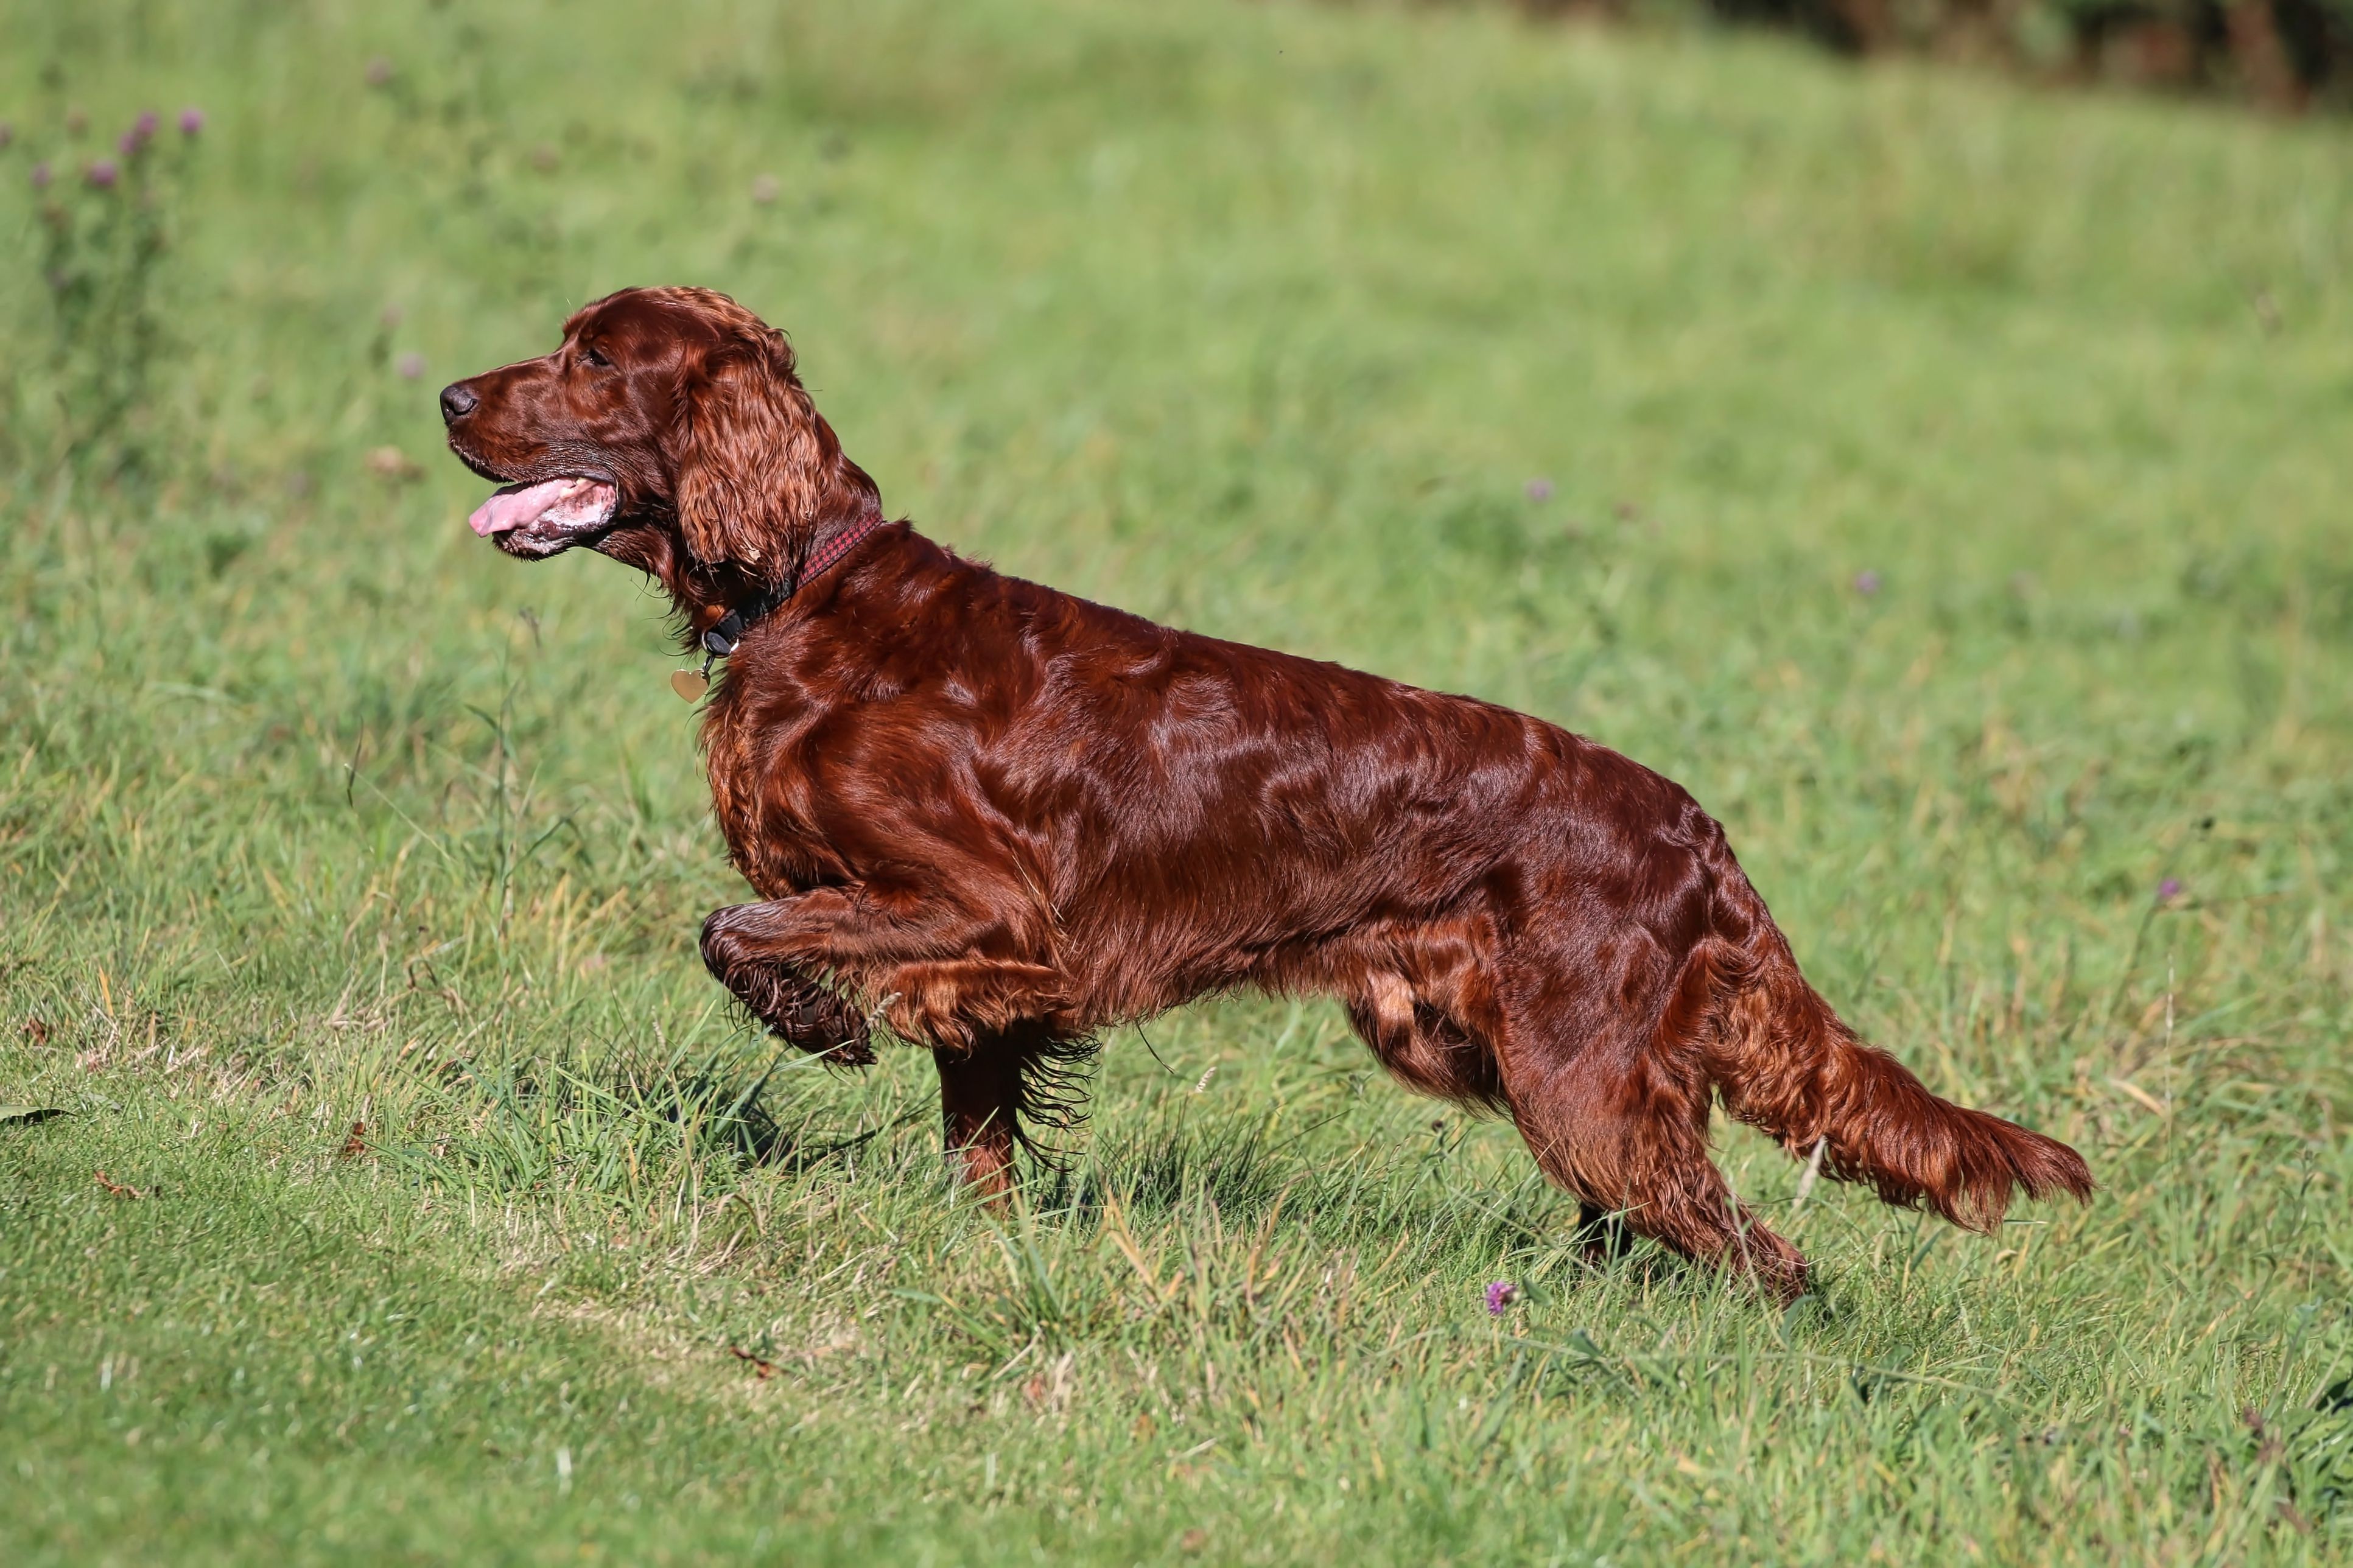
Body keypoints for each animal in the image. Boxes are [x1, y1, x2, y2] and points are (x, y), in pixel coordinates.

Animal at [444, 284, 2099, 1290]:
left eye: (598, 356)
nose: (452, 392)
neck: (806, 593)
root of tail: (1699, 833)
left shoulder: (981, 905)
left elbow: (743, 931)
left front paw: (825, 1024)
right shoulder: (995, 974)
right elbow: (973, 1131)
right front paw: (981, 1243)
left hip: (1578, 1079)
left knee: (1763, 1254)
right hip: (1516, 1060)